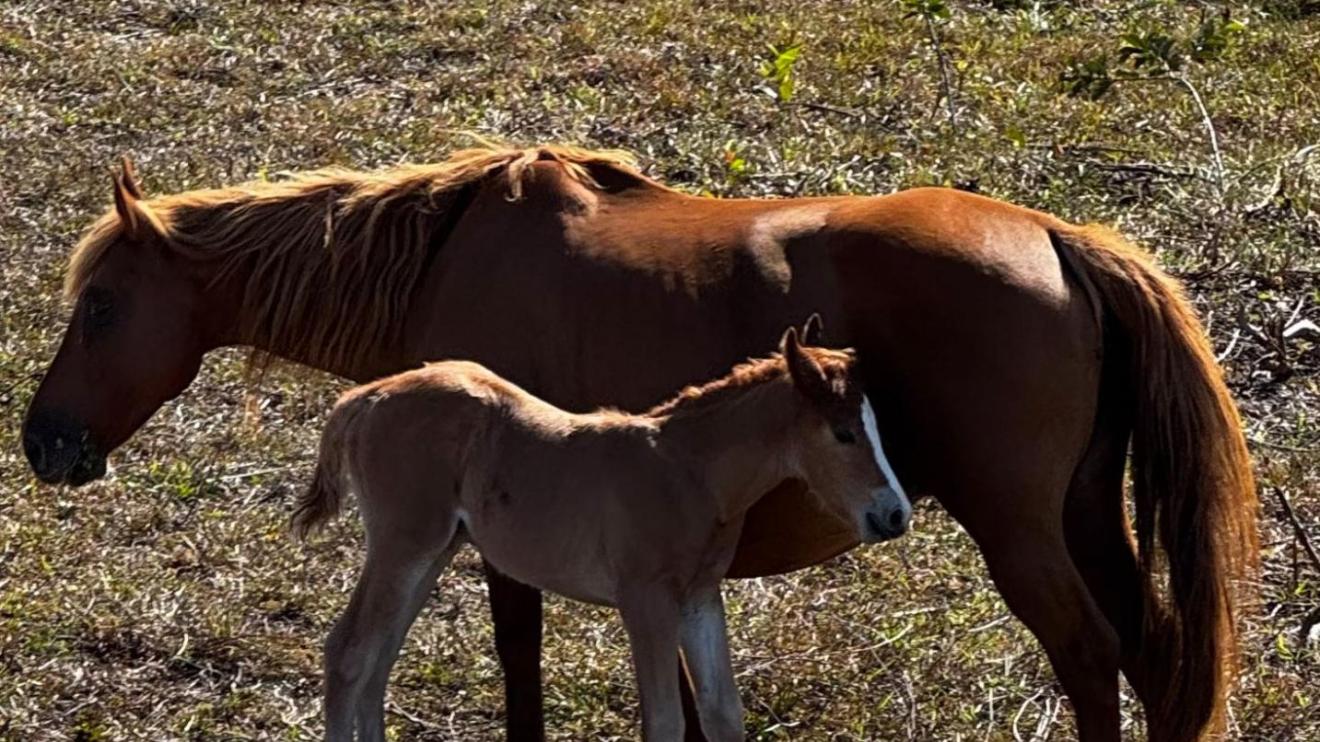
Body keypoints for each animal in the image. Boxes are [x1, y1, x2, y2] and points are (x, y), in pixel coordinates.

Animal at [292, 325, 911, 742]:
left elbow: (722, 713)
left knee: (379, 656)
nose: (894, 514)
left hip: (435, 549)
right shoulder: (646, 600)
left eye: (875, 426)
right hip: (404, 543)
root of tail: (365, 397)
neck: (689, 470)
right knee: (350, 651)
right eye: (842, 433)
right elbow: (665, 719)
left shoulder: (699, 598)